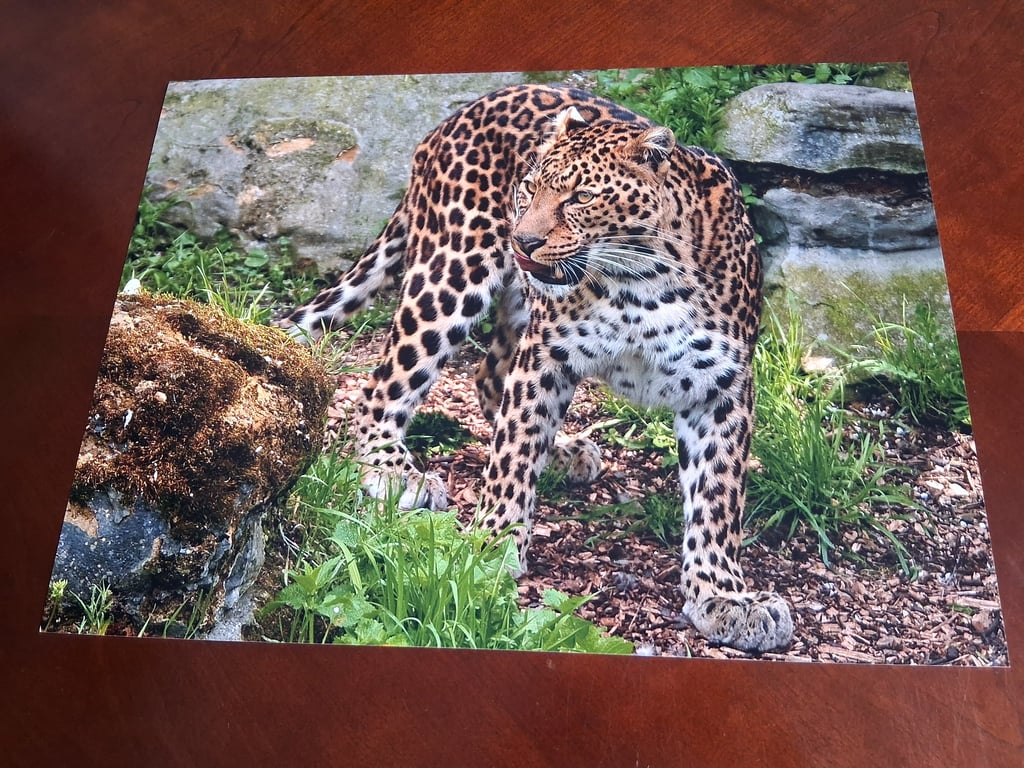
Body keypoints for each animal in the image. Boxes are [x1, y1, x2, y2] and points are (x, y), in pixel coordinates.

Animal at [278, 83, 793, 653]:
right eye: (529, 187)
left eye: (582, 198)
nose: (522, 241)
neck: (643, 284)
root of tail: (460, 112)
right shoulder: (546, 355)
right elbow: (511, 457)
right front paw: (488, 547)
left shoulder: (722, 387)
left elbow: (718, 499)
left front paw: (724, 596)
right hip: (451, 273)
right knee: (384, 384)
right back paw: (392, 469)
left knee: (486, 375)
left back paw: (565, 452)